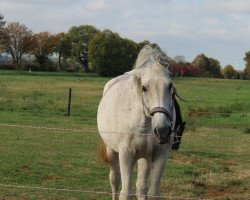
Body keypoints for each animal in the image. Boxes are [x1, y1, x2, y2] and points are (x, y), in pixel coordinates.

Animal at [97, 45, 176, 200]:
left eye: (170, 86)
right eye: (144, 87)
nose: (163, 130)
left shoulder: (160, 155)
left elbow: (153, 193)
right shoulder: (126, 154)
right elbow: (125, 192)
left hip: (143, 158)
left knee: (141, 187)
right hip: (112, 151)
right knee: (114, 180)